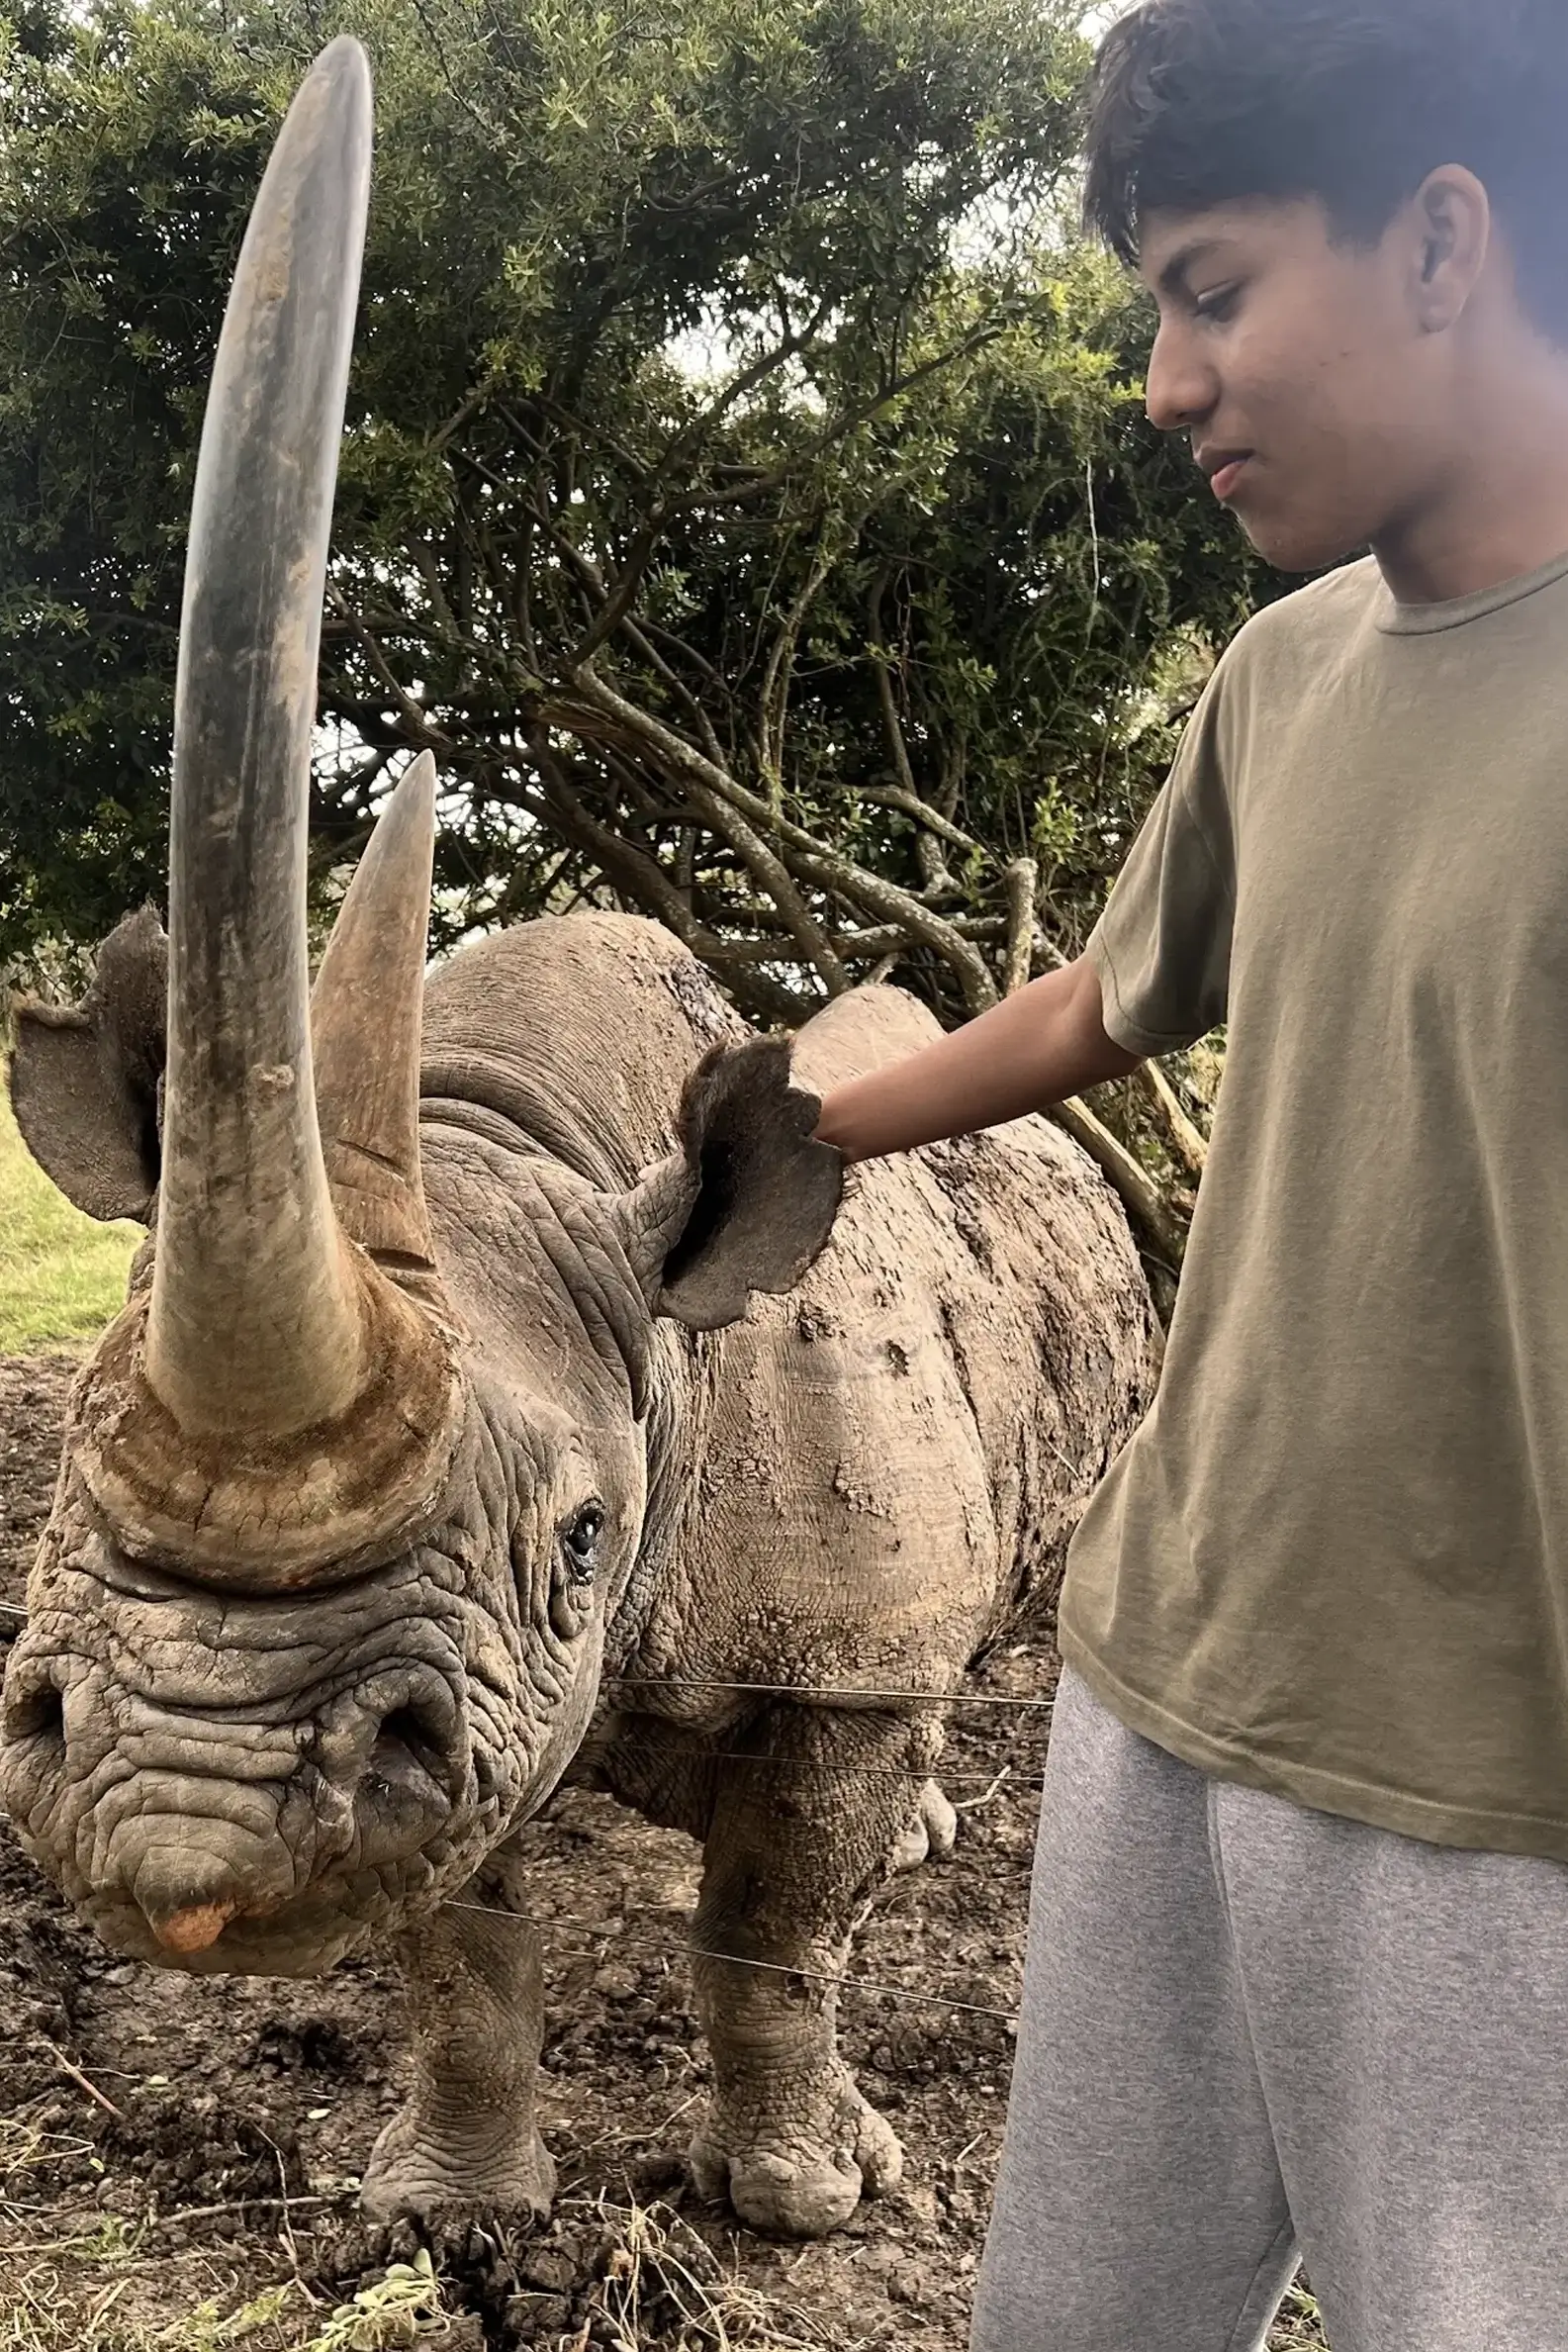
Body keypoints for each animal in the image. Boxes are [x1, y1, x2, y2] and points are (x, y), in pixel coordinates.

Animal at [0, 40, 1158, 2239]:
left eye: (583, 1538)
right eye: (68, 1482)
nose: (182, 1826)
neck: (521, 1147)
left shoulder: (830, 1644)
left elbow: (769, 1926)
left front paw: (804, 2197)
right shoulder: (434, 1729)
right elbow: (460, 1938)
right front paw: (449, 2207)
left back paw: (934, 1833)